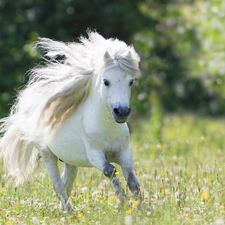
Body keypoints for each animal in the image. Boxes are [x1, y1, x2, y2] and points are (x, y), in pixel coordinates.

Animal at [0, 30, 141, 212]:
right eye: (106, 81)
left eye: (131, 81)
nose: (122, 112)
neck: (108, 128)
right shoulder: (95, 155)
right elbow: (110, 170)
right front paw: (122, 200)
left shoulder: (123, 153)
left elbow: (132, 179)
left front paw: (141, 208)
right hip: (47, 155)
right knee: (58, 185)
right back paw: (69, 212)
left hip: (70, 161)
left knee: (67, 183)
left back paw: (66, 210)